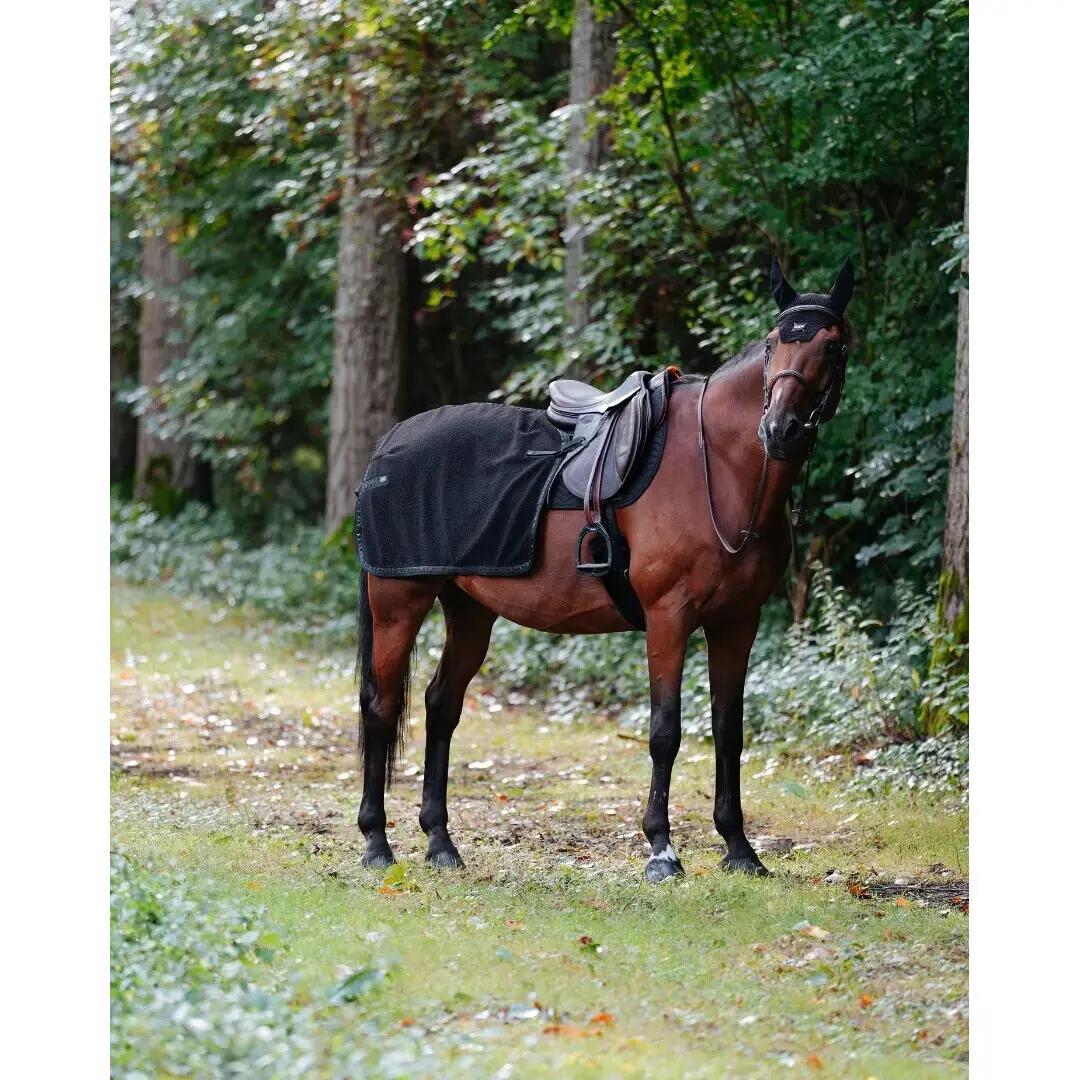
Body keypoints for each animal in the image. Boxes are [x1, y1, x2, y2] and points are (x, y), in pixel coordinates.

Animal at [353, 256, 855, 883]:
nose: (780, 429)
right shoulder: (668, 617)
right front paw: (662, 850)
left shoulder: (737, 623)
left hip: (469, 610)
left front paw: (740, 849)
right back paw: (377, 844)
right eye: (773, 343)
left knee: (440, 705)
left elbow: (729, 731)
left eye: (831, 346)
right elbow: (665, 731)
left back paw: (441, 843)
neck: (718, 467)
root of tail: (390, 444)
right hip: (398, 603)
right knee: (380, 708)